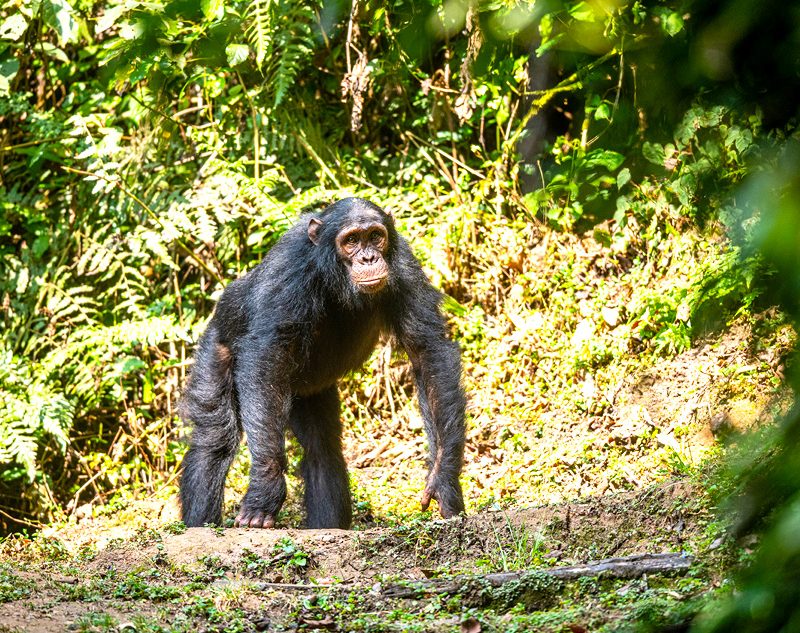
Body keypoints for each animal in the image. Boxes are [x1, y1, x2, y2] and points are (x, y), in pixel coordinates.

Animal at [180, 198, 468, 528]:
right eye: (351, 240)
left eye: (375, 236)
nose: (369, 257)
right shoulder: (289, 265)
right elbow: (267, 356)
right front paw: (265, 489)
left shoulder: (404, 265)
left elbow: (427, 351)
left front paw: (443, 480)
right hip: (217, 343)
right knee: (213, 438)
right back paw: (199, 524)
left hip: (310, 393)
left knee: (322, 449)